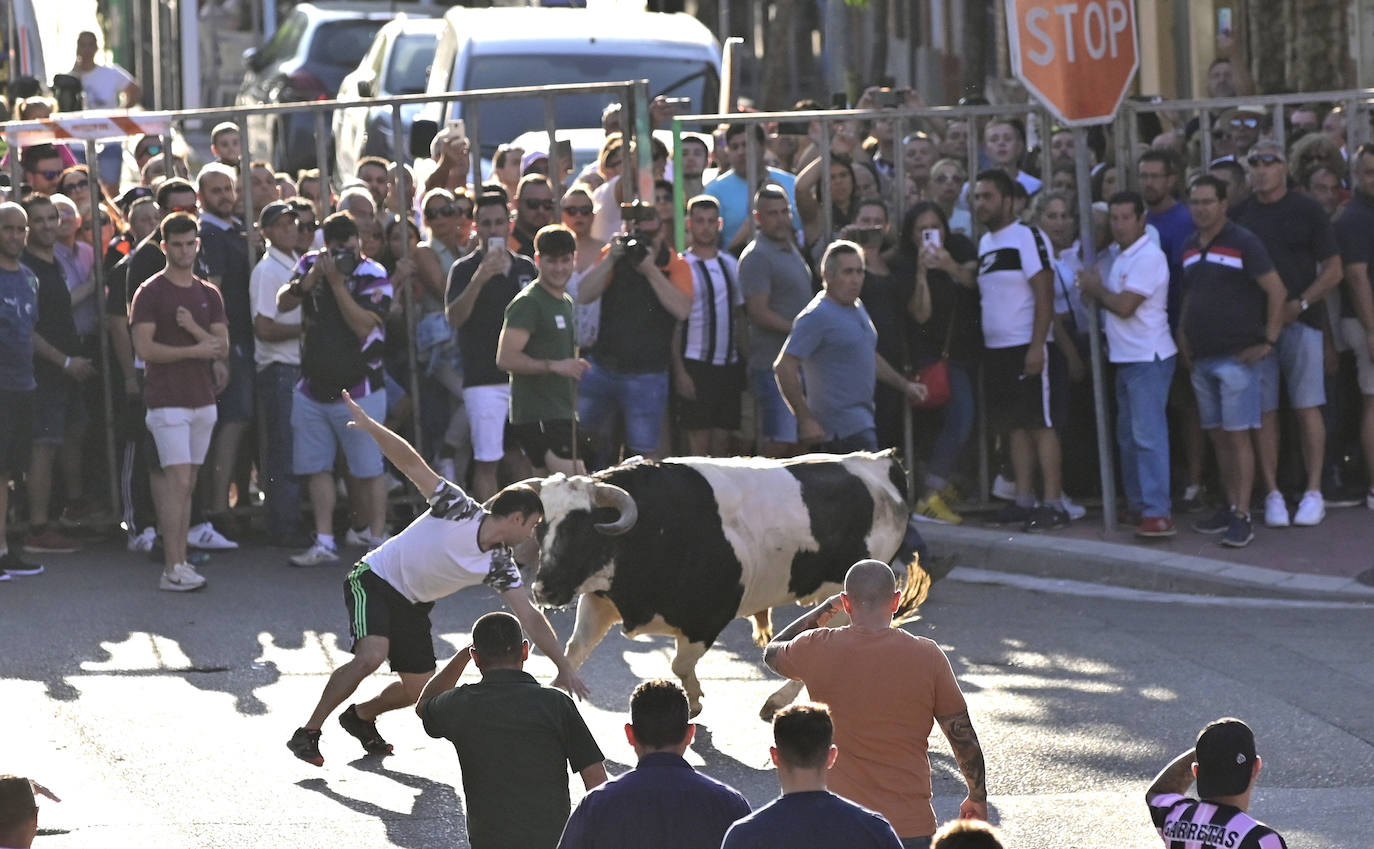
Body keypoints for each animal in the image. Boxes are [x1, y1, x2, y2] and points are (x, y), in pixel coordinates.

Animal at [519, 450, 928, 714]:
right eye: (541, 527)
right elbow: (573, 651)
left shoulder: (706, 619)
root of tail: (880, 460)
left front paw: (695, 699)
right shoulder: (600, 600)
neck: (655, 526)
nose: (542, 589)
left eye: (583, 529)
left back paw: (777, 701)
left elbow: (679, 666)